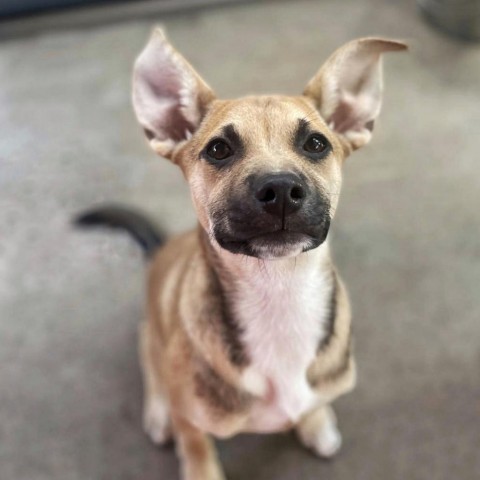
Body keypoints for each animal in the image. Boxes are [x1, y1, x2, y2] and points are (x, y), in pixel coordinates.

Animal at [77, 31, 406, 480]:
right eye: (219, 149)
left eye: (316, 143)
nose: (281, 189)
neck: (280, 294)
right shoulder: (193, 421)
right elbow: (197, 448)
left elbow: (315, 402)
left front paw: (316, 421)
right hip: (150, 335)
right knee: (151, 365)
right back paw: (159, 413)